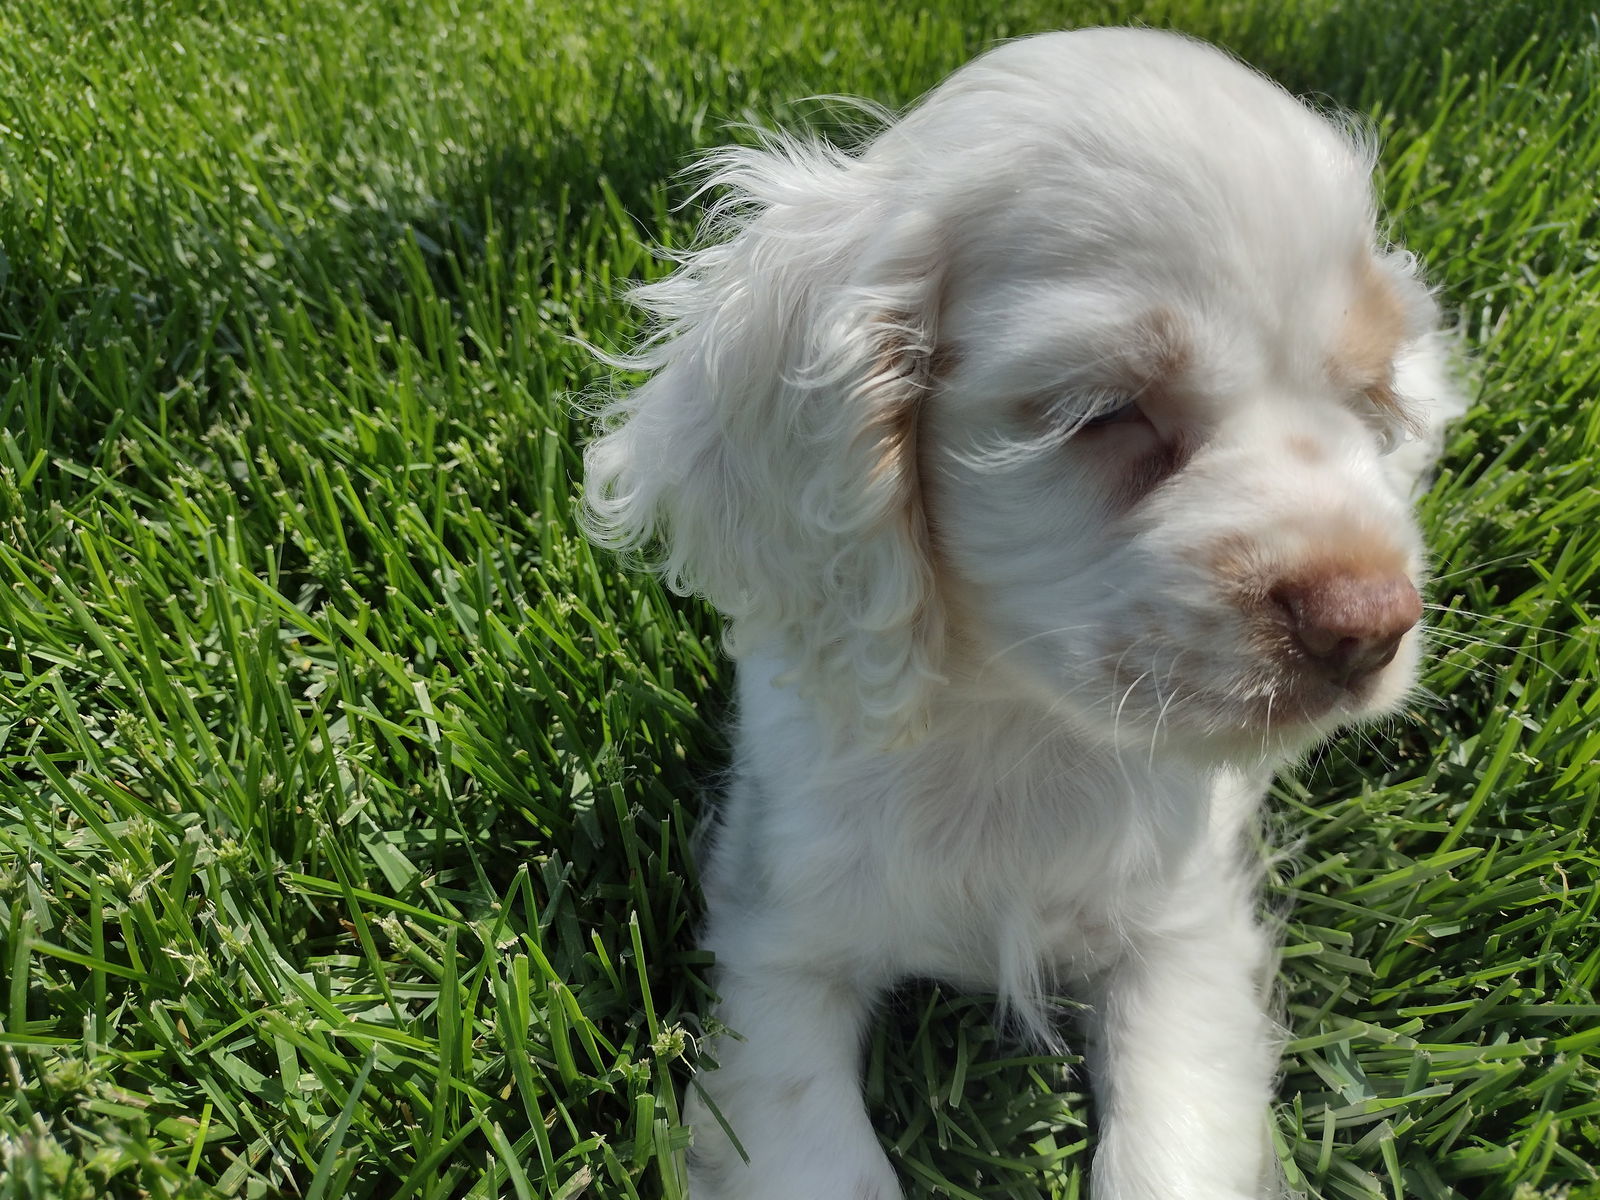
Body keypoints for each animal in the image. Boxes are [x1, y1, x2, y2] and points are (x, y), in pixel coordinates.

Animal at [585, 28, 1465, 1200]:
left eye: (1370, 404)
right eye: (1107, 410)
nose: (1369, 622)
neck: (1015, 727)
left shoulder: (1182, 940)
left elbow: (1163, 1155)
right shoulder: (776, 947)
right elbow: (823, 1154)